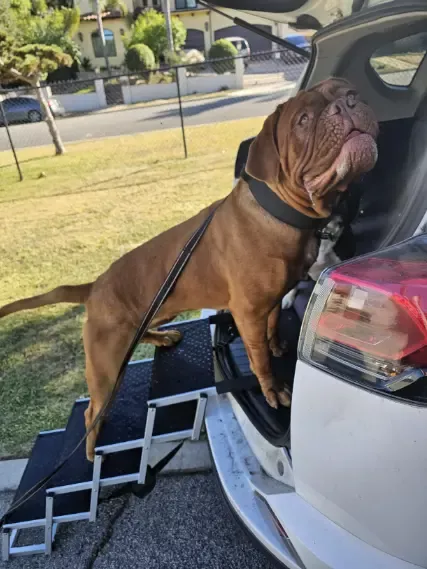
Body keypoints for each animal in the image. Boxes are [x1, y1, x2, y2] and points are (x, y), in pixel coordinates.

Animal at [0, 78, 378, 461]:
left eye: (345, 91)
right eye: (303, 120)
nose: (349, 102)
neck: (280, 212)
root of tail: (93, 286)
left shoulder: (272, 299)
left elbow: (273, 327)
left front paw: (275, 345)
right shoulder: (248, 314)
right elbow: (258, 360)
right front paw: (271, 389)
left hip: (145, 321)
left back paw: (163, 337)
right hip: (106, 367)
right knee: (92, 411)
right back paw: (92, 450)